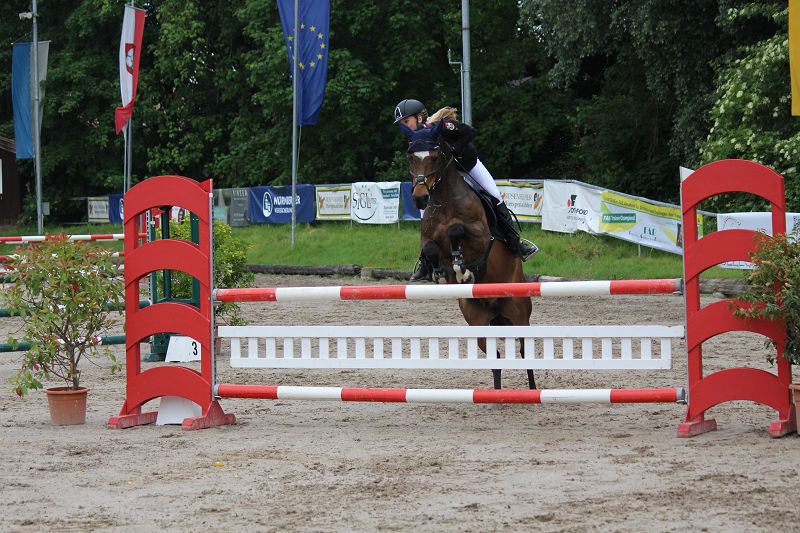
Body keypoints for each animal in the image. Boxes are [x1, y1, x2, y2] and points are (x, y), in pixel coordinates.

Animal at [405, 129, 535, 390]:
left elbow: (456, 229)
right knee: (495, 358)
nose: (420, 198)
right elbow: (432, 248)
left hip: (519, 312)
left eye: (435, 157)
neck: (445, 200)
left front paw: (460, 265)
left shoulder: (482, 235)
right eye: (410, 158)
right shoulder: (427, 239)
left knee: (526, 353)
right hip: (477, 320)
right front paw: (442, 271)